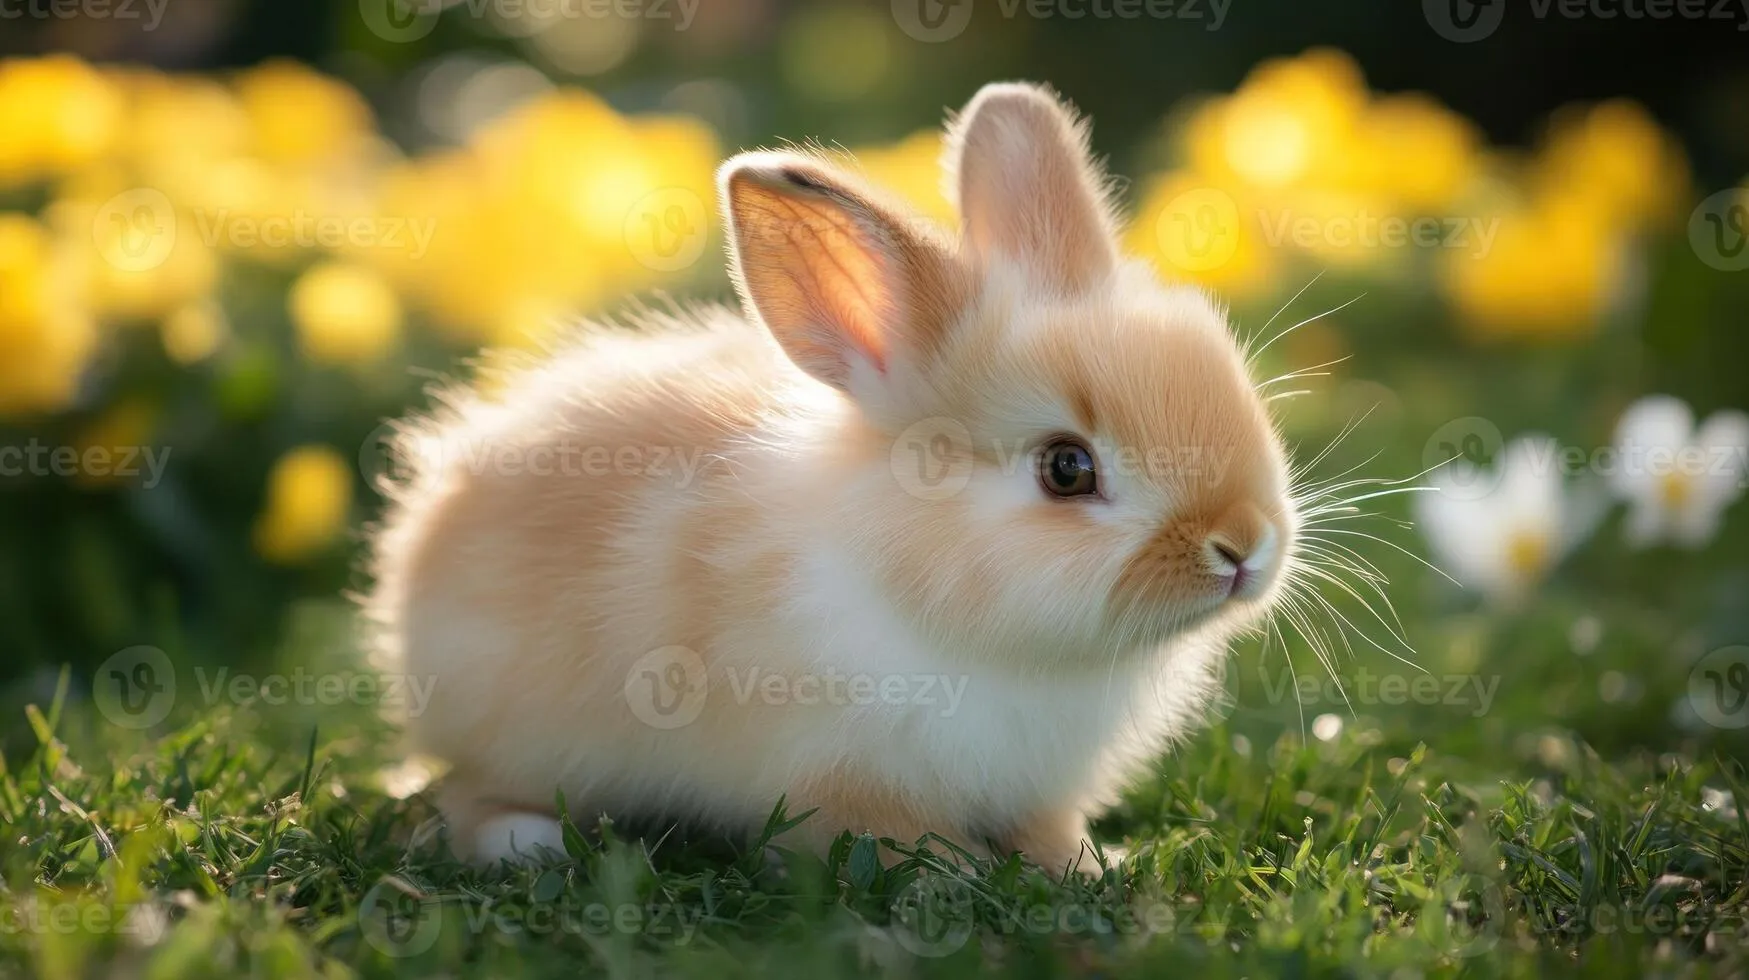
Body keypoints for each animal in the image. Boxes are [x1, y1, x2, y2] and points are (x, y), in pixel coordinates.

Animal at [363, 82, 1297, 875]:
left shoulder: (1041, 789)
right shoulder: (838, 775)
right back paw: (529, 843)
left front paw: (1085, 867)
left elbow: (1045, 832)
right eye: (1066, 469)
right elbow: (889, 840)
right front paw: (954, 878)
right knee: (469, 799)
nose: (1243, 545)